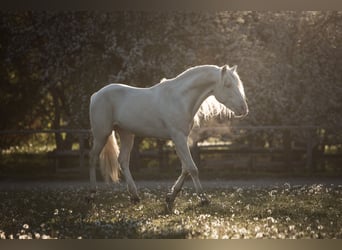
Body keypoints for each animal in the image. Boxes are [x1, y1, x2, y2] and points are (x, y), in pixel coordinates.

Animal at [89, 64, 247, 207]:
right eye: (228, 85)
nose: (244, 109)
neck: (180, 99)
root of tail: (96, 95)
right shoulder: (179, 138)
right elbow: (192, 168)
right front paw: (203, 199)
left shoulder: (180, 139)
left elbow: (185, 169)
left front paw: (171, 196)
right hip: (101, 134)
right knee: (93, 157)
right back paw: (92, 193)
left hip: (126, 134)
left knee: (122, 161)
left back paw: (135, 196)